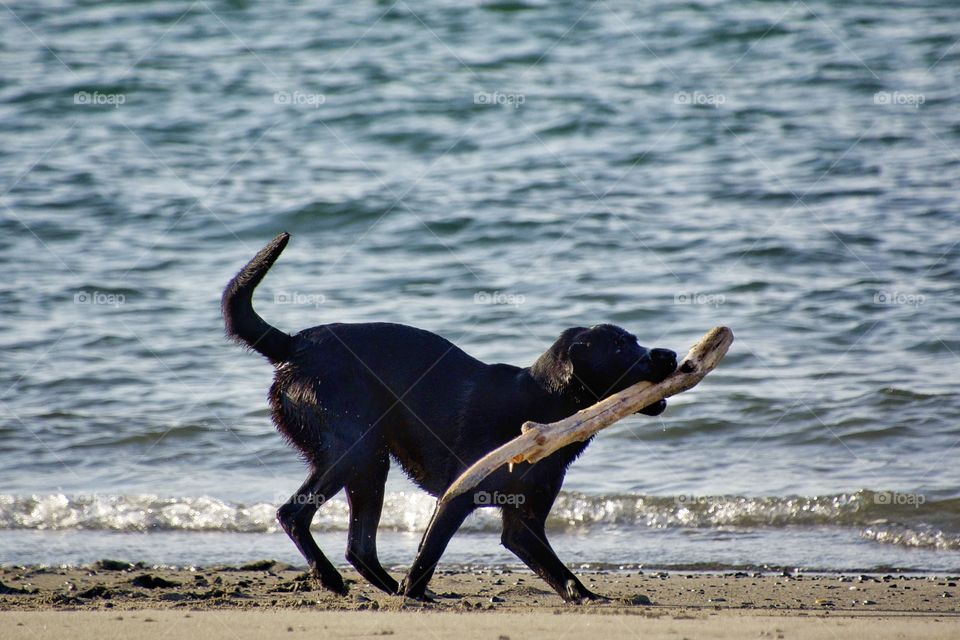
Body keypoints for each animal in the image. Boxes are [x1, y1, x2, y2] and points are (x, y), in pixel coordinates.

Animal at [224, 232, 676, 604]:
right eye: (620, 347)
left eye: (635, 340)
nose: (669, 354)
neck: (542, 404)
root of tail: (293, 345)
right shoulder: (456, 497)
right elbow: (429, 552)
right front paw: (412, 590)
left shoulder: (524, 522)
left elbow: (556, 568)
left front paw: (584, 596)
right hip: (356, 452)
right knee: (294, 514)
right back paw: (343, 581)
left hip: (370, 463)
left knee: (359, 546)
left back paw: (391, 588)